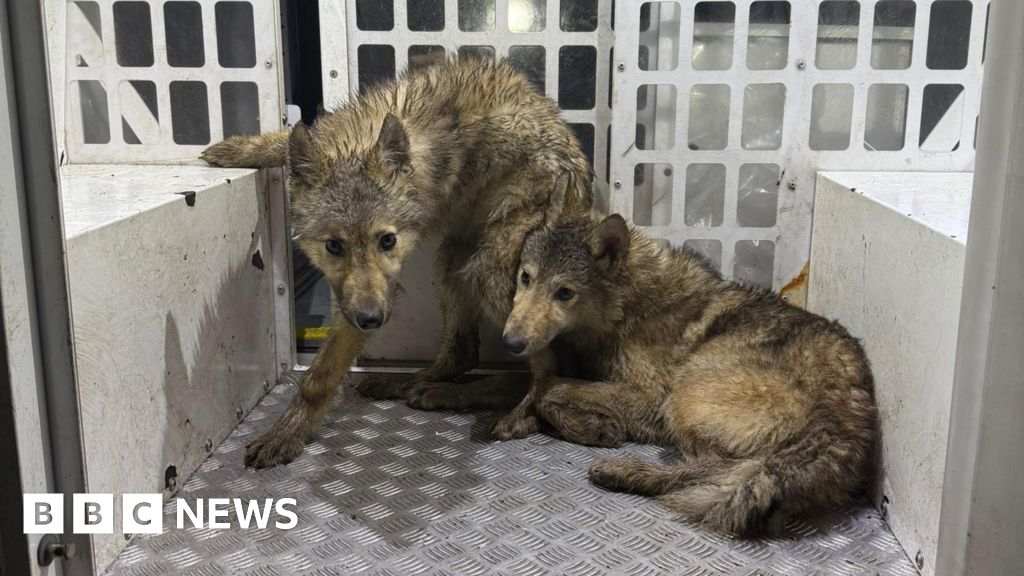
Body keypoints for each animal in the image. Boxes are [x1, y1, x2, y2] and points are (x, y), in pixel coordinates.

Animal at [201, 57, 592, 467]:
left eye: (387, 241)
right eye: (334, 246)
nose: (372, 320)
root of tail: (583, 198)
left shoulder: (368, 302)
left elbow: (318, 377)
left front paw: (286, 433)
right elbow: (287, 138)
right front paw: (237, 149)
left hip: (489, 273)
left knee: (548, 365)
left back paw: (520, 414)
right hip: (452, 261)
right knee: (461, 354)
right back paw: (413, 384)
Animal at [493, 214, 876, 535]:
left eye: (564, 293)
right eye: (525, 278)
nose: (510, 342)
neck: (628, 304)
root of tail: (840, 429)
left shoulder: (651, 400)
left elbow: (551, 388)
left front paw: (587, 426)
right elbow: (544, 386)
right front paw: (516, 418)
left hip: (683, 397)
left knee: (714, 468)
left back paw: (626, 472)